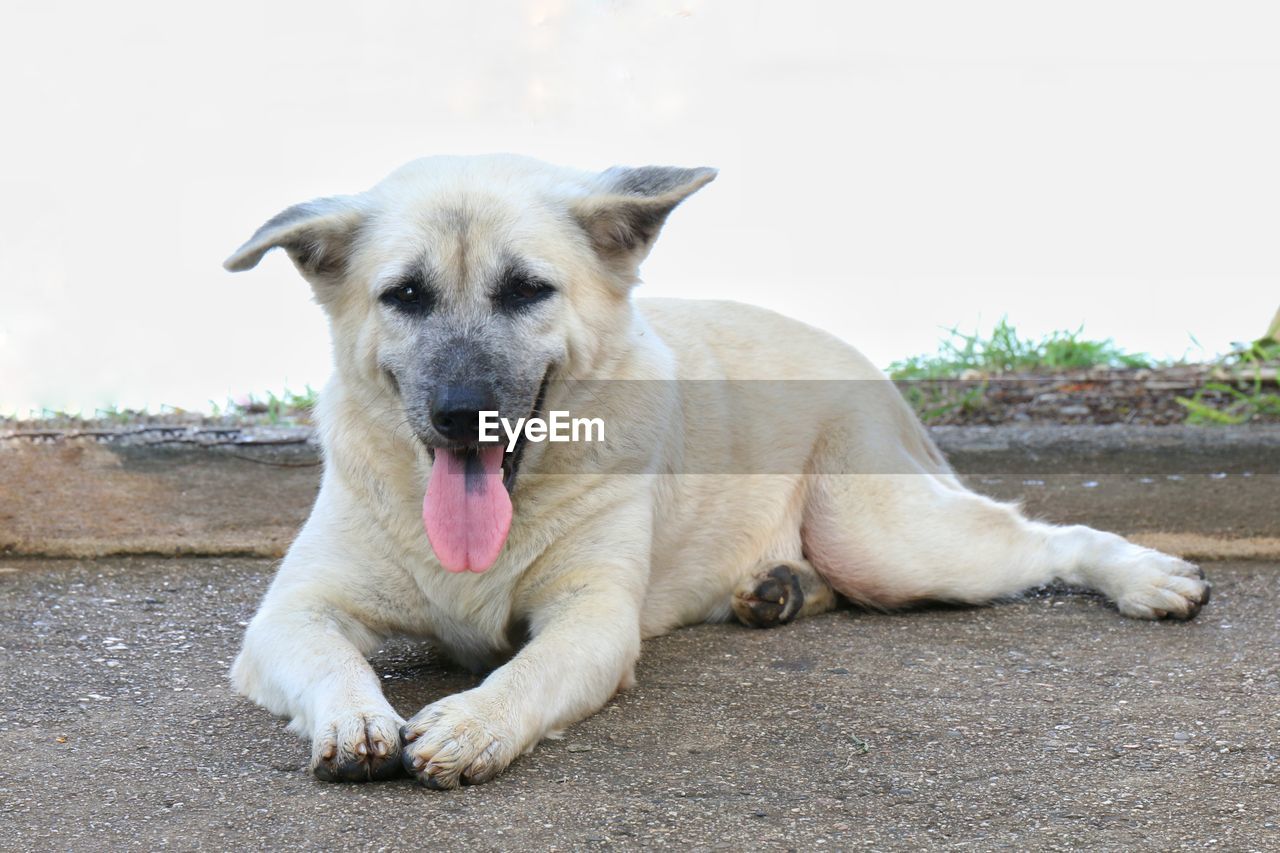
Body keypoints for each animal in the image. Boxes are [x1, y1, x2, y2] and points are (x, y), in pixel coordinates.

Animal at [222, 154, 1208, 783]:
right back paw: (777, 589)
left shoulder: (594, 622)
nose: (463, 414)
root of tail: (871, 369)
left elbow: (527, 674)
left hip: (883, 540)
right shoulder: (289, 615)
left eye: (527, 290)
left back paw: (1145, 575)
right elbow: (330, 661)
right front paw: (355, 715)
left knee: (1047, 534)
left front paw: (474, 721)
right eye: (405, 295)